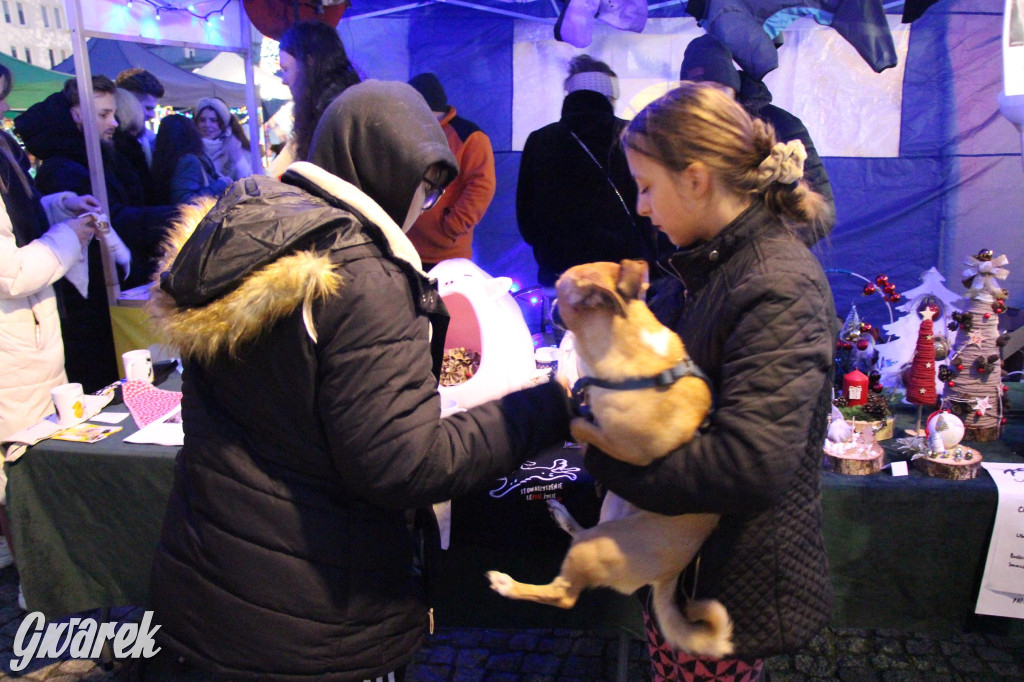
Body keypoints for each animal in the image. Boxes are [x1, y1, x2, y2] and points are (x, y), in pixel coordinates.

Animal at [485, 258, 733, 655]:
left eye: (561, 291)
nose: (550, 307)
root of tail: (670, 576)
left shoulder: (622, 446)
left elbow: (581, 424)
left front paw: (566, 395)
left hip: (595, 548)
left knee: (563, 595)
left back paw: (508, 584)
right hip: (607, 516)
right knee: (582, 534)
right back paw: (564, 517)